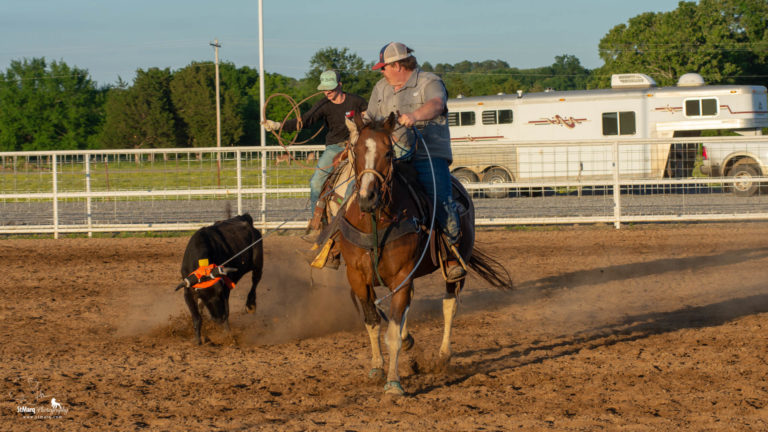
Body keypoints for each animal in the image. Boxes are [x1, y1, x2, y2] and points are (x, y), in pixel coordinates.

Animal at [340, 113, 512, 396]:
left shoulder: (401, 277)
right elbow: (373, 322)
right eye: (355, 151)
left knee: (449, 305)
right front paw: (376, 368)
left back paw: (442, 357)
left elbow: (392, 333)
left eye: (388, 153)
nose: (368, 198)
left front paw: (394, 383)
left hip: (456, 266)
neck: (375, 223)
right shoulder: (357, 278)